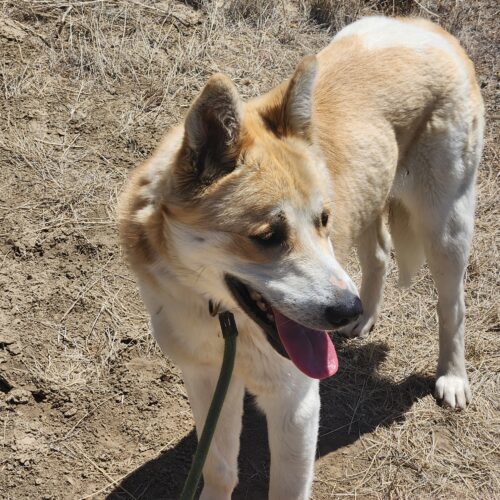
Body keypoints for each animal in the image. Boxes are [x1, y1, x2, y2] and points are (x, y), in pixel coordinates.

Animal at [119, 15, 482, 500]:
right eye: (268, 236)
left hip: (445, 225)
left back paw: (452, 377)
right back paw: (366, 319)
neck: (224, 319)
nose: (347, 308)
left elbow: (285, 487)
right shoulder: (206, 380)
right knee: (379, 255)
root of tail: (424, 25)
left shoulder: (295, 402)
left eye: (322, 219)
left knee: (452, 305)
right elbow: (219, 468)